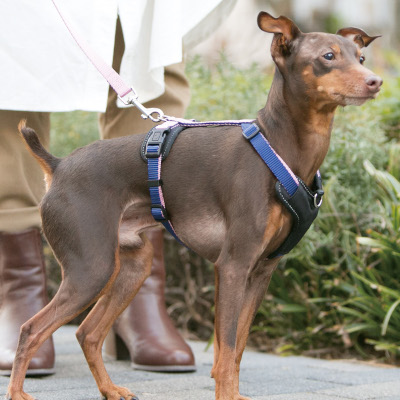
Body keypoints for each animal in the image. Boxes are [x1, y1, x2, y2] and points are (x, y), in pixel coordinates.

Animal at [6, 11, 382, 400]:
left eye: (361, 57)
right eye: (328, 56)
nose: (376, 81)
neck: (281, 148)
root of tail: (58, 165)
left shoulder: (261, 271)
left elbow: (235, 348)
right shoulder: (232, 266)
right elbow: (227, 348)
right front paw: (227, 395)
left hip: (130, 267)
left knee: (88, 332)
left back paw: (110, 389)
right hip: (91, 268)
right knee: (31, 329)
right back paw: (19, 392)